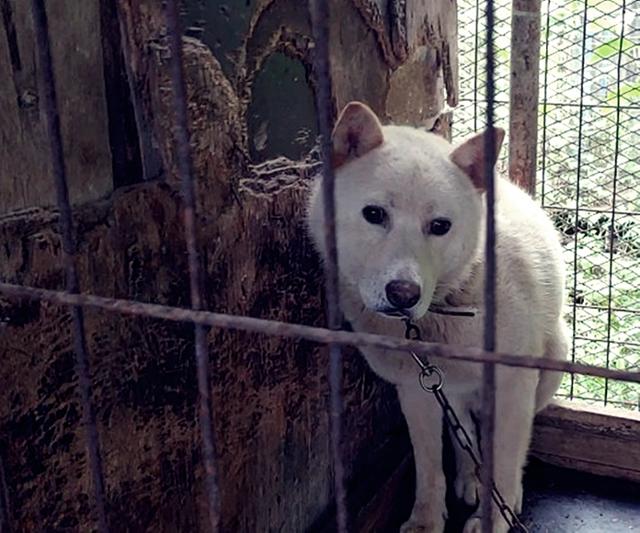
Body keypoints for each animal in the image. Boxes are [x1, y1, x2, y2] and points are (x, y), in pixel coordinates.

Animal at [306, 102, 568, 528]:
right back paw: (471, 476)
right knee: (464, 433)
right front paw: (426, 521)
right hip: (449, 389)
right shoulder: (416, 387)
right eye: (374, 214)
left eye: (440, 226)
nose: (403, 293)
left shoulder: (514, 385)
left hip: (553, 359)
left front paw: (495, 519)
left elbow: (506, 461)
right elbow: (429, 465)